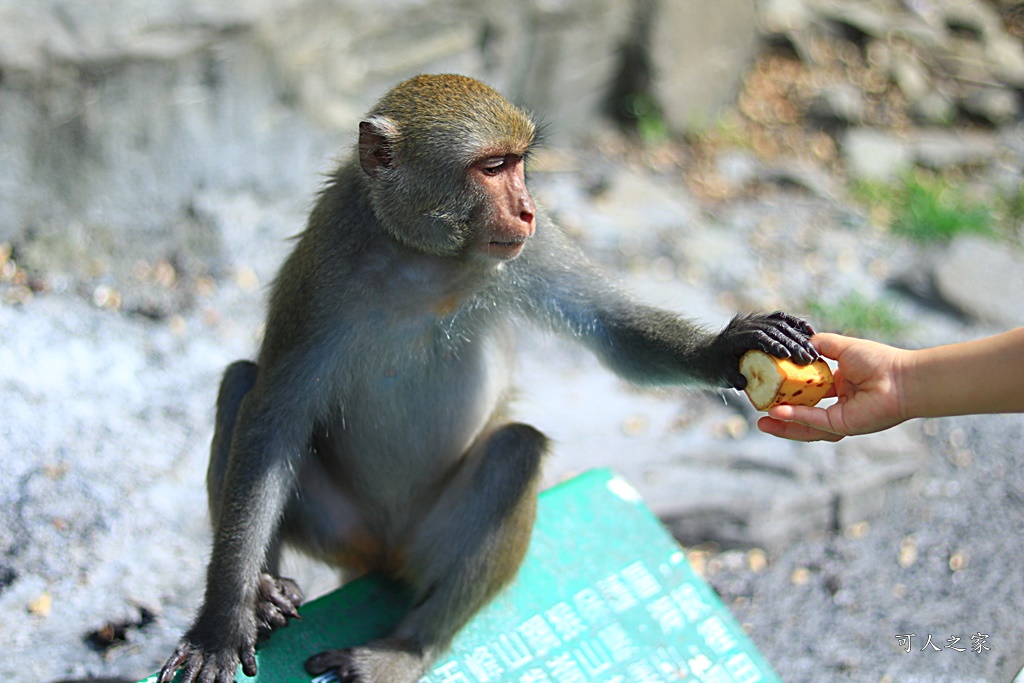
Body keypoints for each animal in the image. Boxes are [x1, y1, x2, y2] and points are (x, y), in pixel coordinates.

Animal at [157, 74, 815, 683]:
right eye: (492, 167)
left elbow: (613, 330)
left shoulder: (534, 245)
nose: (526, 208)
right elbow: (276, 418)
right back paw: (267, 591)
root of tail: (382, 553)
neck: (423, 257)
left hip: (427, 543)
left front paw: (727, 350)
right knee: (243, 385)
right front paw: (222, 622)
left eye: (520, 165)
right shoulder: (324, 266)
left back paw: (407, 648)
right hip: (340, 528)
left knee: (515, 450)